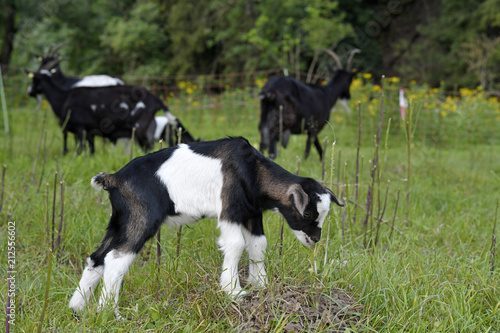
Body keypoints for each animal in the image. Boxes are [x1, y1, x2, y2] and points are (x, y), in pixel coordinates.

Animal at [25, 69, 195, 154]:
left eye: (34, 80)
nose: (29, 92)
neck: (64, 97)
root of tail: (156, 99)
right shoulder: (89, 132)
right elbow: (90, 150)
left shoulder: (80, 128)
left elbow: (81, 149)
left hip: (140, 129)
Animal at [69, 136, 344, 316]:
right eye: (307, 212)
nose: (315, 238)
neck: (253, 170)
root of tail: (113, 179)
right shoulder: (229, 209)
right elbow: (236, 244)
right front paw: (233, 292)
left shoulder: (252, 213)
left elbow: (258, 244)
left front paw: (260, 284)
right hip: (141, 219)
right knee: (116, 259)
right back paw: (110, 312)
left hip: (120, 221)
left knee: (97, 257)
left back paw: (78, 307)